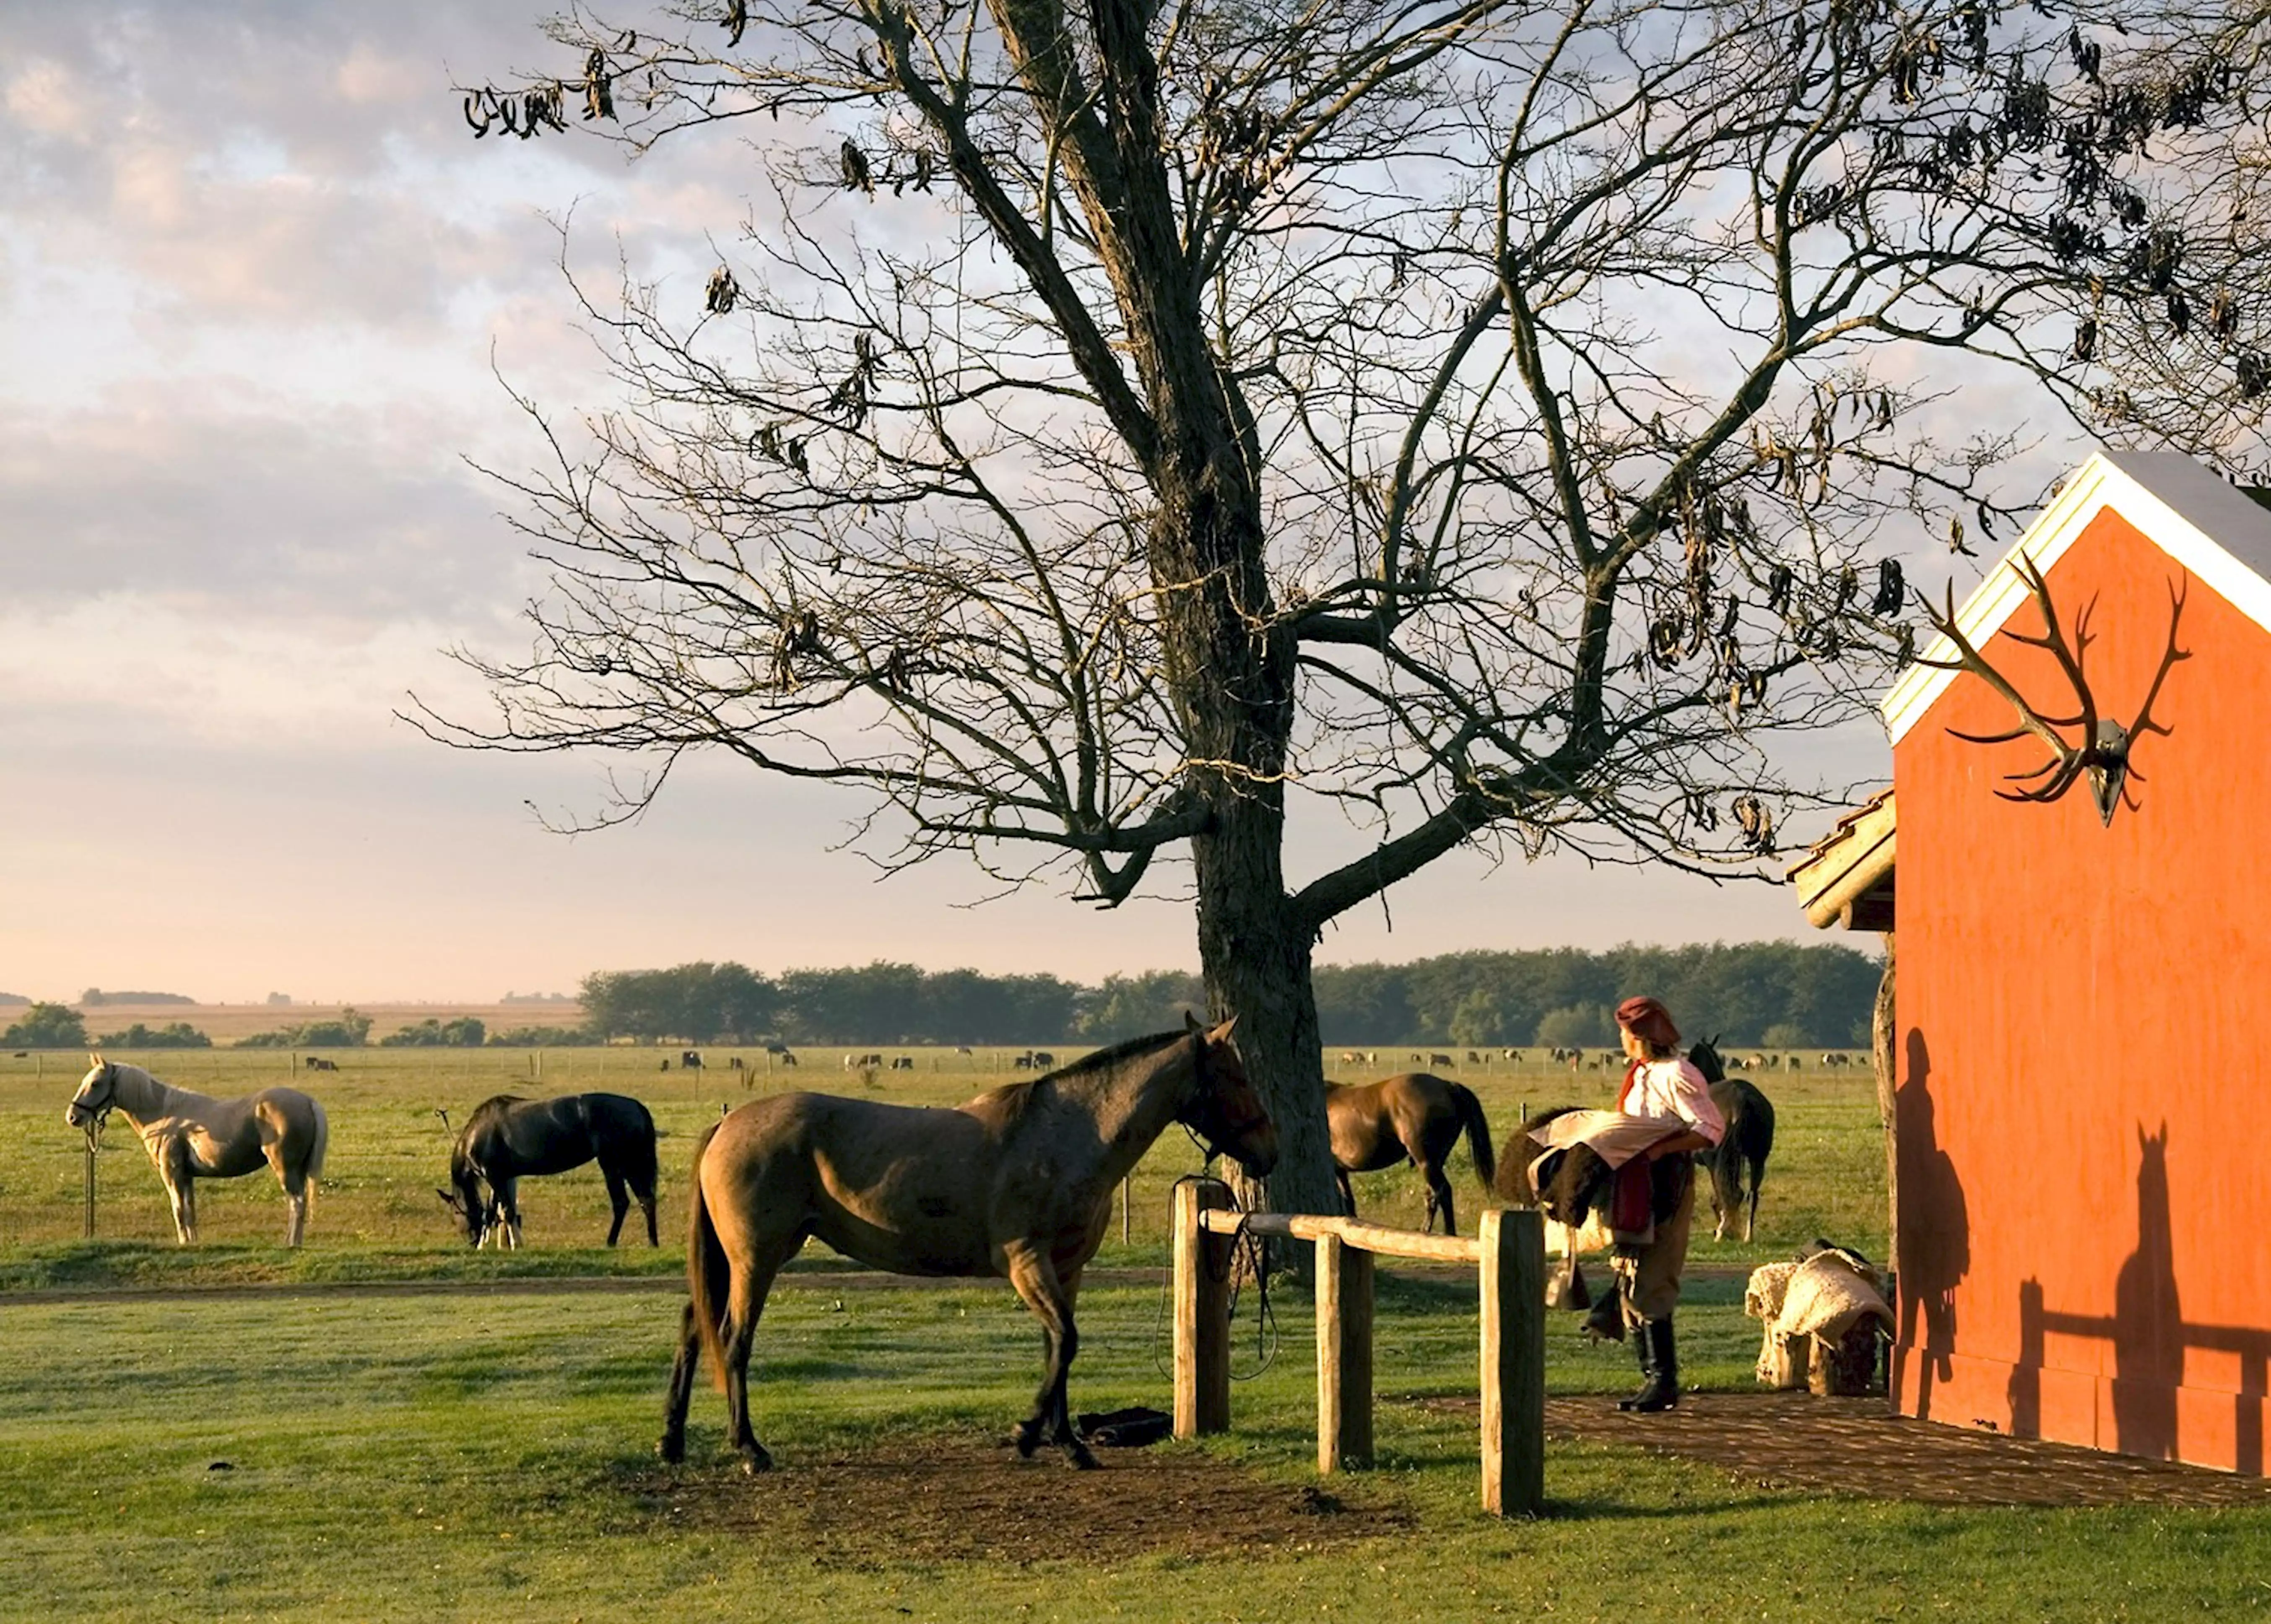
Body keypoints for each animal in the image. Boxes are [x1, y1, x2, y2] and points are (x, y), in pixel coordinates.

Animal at [65, 1063, 329, 1254]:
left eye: (96, 1083)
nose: (73, 1116)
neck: (164, 1115)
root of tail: (308, 1101)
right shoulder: (187, 1176)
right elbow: (190, 1209)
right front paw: (193, 1242)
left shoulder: (171, 1173)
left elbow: (178, 1209)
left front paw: (183, 1242)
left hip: (285, 1169)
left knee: (297, 1203)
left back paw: (292, 1243)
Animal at [438, 1099, 658, 1254]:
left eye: (455, 1214)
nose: (470, 1242)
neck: (476, 1133)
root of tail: (637, 1107)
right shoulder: (501, 1177)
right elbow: (493, 1212)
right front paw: (484, 1246)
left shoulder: (495, 1176)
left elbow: (507, 1212)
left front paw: (516, 1245)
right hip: (631, 1165)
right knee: (646, 1200)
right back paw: (653, 1243)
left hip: (614, 1164)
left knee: (621, 1202)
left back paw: (611, 1242)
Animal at [663, 1022, 1281, 1481]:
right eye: (1233, 1074)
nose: (1268, 1151)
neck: (1065, 1137)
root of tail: (726, 1125)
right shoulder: (1027, 1264)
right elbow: (1066, 1342)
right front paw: (1027, 1434)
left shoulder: (1066, 1270)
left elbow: (1059, 1349)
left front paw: (1067, 1444)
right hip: (757, 1260)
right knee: (734, 1340)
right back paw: (750, 1450)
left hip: (738, 1262)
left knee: (695, 1327)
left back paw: (672, 1441)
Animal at [1326, 1072, 1499, 1235]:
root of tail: (1448, 1086)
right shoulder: (1340, 1171)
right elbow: (1348, 1200)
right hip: (1436, 1162)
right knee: (1432, 1195)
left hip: (1425, 1161)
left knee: (1443, 1191)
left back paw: (1449, 1233)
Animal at [1689, 1040, 1771, 1245]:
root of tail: (1741, 1099)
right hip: (1757, 1158)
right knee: (1751, 1195)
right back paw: (1747, 1235)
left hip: (1716, 1160)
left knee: (1728, 1193)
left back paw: (1722, 1230)